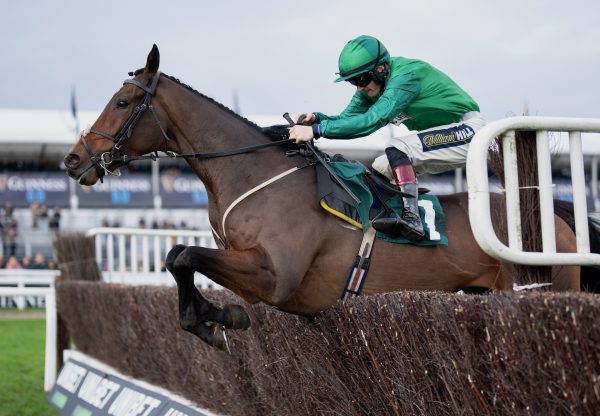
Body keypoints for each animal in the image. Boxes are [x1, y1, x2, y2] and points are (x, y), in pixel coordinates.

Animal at [64, 44, 584, 352]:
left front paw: (217, 317)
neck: (256, 171)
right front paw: (211, 317)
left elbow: (184, 254)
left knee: (399, 147)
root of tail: (551, 211)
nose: (72, 160)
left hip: (542, 281)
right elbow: (177, 257)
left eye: (123, 103)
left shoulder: (275, 277)